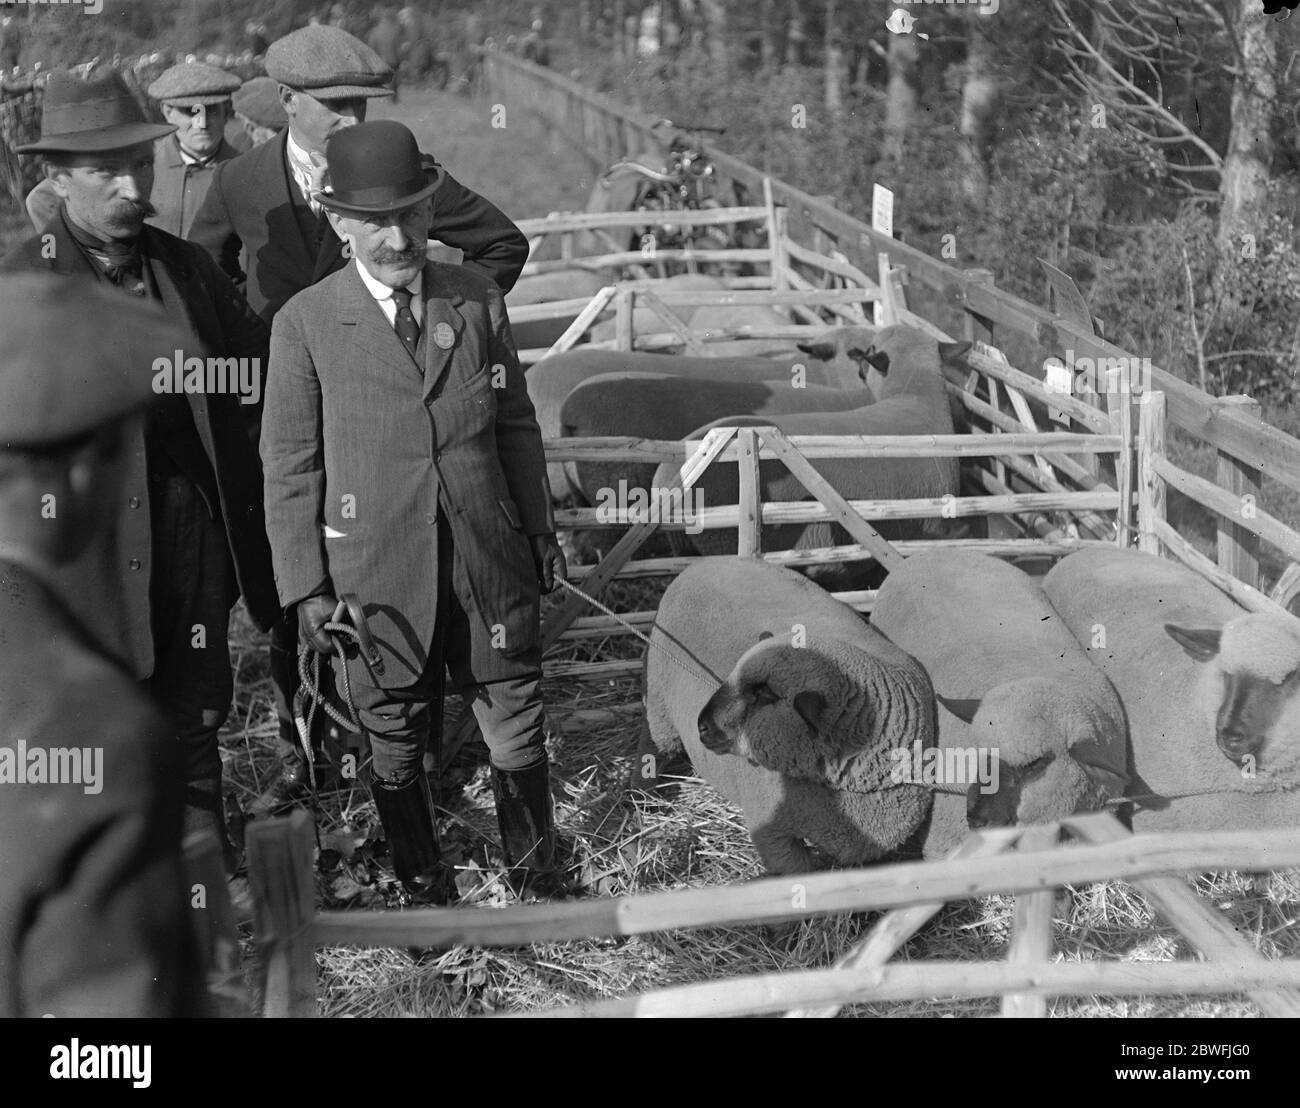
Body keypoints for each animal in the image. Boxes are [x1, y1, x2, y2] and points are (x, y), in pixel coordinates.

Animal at [642, 559, 941, 879]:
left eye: (764, 693)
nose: (702, 725)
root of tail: (704, 563)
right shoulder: (774, 834)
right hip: (659, 700)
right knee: (651, 745)